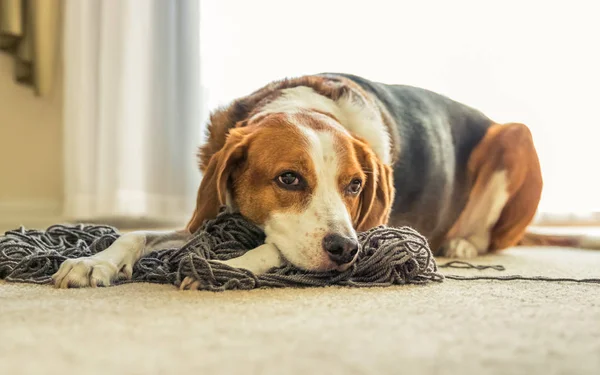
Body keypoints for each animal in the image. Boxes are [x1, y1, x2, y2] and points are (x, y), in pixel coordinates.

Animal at [55, 74, 544, 290]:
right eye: (288, 178)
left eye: (355, 186)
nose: (346, 251)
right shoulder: (206, 215)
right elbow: (136, 234)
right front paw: (94, 262)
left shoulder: (367, 228)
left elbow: (275, 247)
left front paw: (226, 266)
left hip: (516, 135)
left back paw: (463, 244)